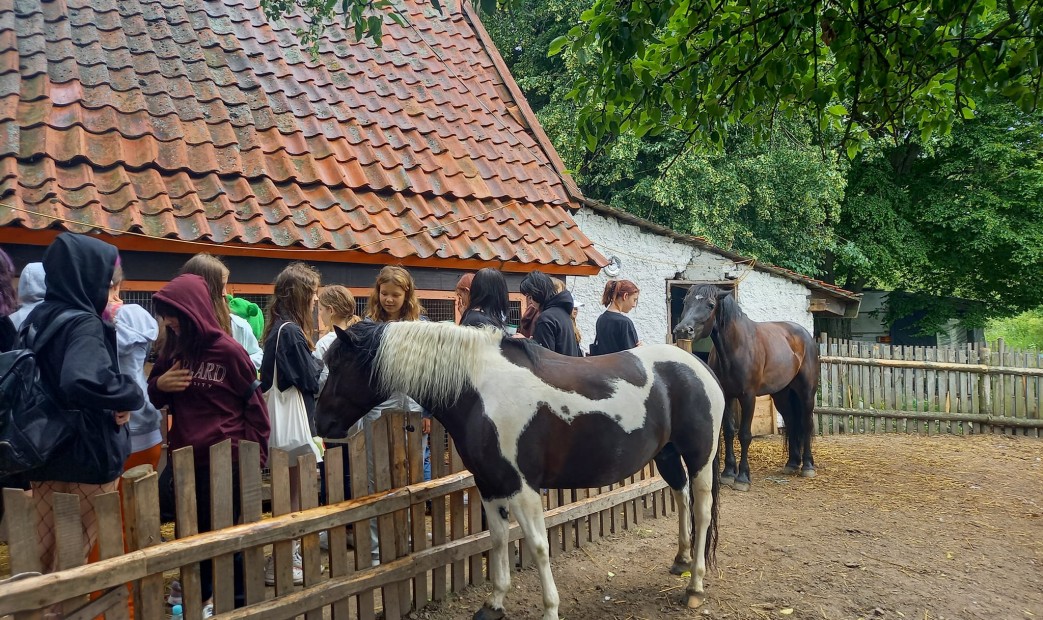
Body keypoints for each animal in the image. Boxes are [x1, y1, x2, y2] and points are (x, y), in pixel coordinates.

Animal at [314, 319, 725, 617]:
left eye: (338, 365)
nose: (322, 424)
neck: (479, 391)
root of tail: (701, 368)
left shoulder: (523, 488)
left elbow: (539, 547)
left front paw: (550, 610)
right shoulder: (490, 485)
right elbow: (497, 540)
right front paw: (493, 604)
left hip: (700, 458)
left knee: (703, 509)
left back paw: (695, 587)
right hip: (667, 455)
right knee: (681, 496)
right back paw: (681, 559)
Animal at [671, 281, 817, 490]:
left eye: (710, 305)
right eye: (685, 301)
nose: (683, 330)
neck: (735, 348)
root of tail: (805, 335)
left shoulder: (748, 397)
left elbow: (745, 435)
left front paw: (742, 477)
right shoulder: (727, 395)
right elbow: (729, 432)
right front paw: (728, 472)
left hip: (806, 392)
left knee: (806, 423)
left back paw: (807, 466)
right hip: (781, 394)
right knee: (791, 422)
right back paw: (792, 463)